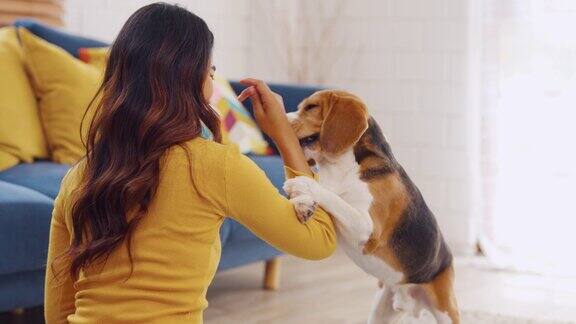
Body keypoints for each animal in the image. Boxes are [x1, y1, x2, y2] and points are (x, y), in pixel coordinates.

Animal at [282, 90, 460, 324]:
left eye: (311, 107)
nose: (280, 116)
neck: (340, 167)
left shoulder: (367, 228)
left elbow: (335, 198)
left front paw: (302, 184)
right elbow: (326, 194)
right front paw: (302, 203)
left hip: (446, 310)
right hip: (380, 311)